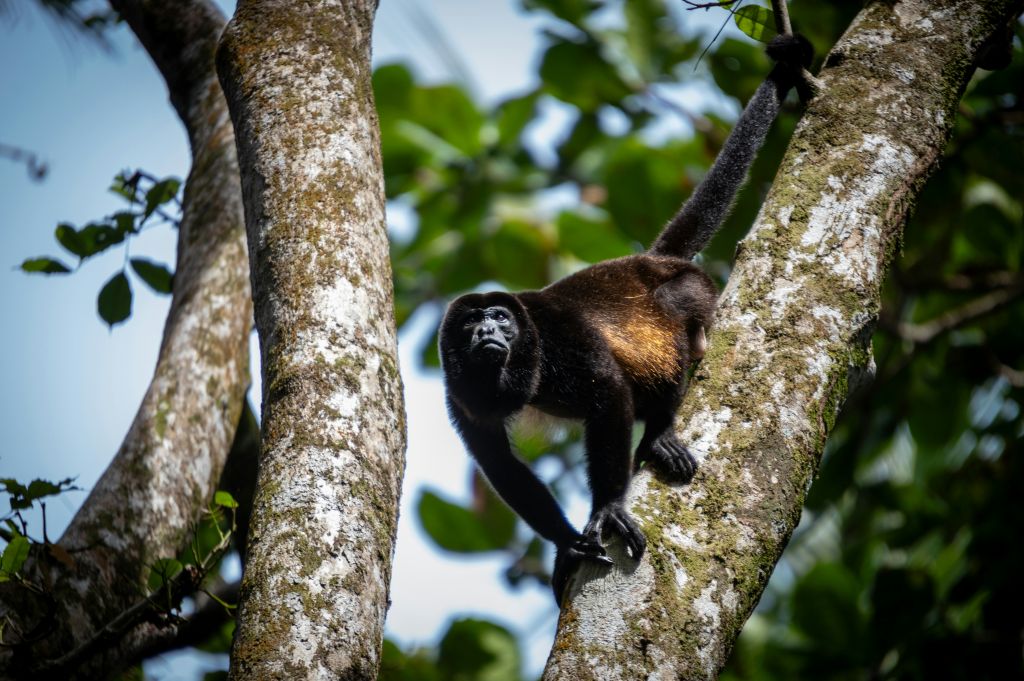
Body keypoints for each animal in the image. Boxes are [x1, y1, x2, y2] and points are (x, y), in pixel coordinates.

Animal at [436, 33, 811, 602]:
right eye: (469, 324)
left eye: (500, 316)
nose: (487, 330)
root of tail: (652, 258)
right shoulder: (458, 395)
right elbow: (500, 463)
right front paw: (567, 545)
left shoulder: (558, 335)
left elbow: (608, 391)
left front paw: (609, 507)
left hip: (691, 287)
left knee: (673, 323)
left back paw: (658, 431)